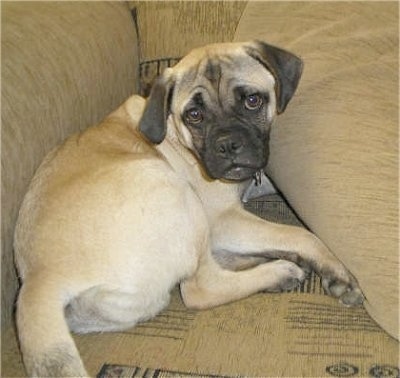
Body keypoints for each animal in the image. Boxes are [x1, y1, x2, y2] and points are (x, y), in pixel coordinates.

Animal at [14, 39, 364, 376]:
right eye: (194, 115)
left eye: (253, 101)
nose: (228, 145)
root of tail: (41, 278)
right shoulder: (224, 218)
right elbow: (302, 235)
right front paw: (336, 271)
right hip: (175, 191)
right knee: (201, 288)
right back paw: (278, 272)